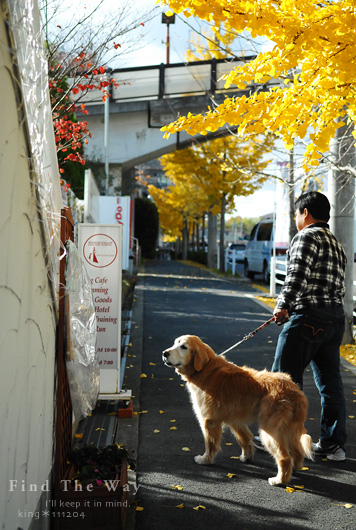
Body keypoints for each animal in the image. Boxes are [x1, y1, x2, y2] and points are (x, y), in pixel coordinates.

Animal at [163, 334, 312, 482]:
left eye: (184, 347)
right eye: (175, 343)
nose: (165, 353)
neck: (205, 368)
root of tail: (294, 391)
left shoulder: (209, 420)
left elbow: (210, 443)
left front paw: (205, 459)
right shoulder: (235, 420)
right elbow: (244, 440)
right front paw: (246, 457)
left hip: (269, 431)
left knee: (284, 457)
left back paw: (279, 480)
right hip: (290, 429)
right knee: (298, 451)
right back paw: (295, 469)